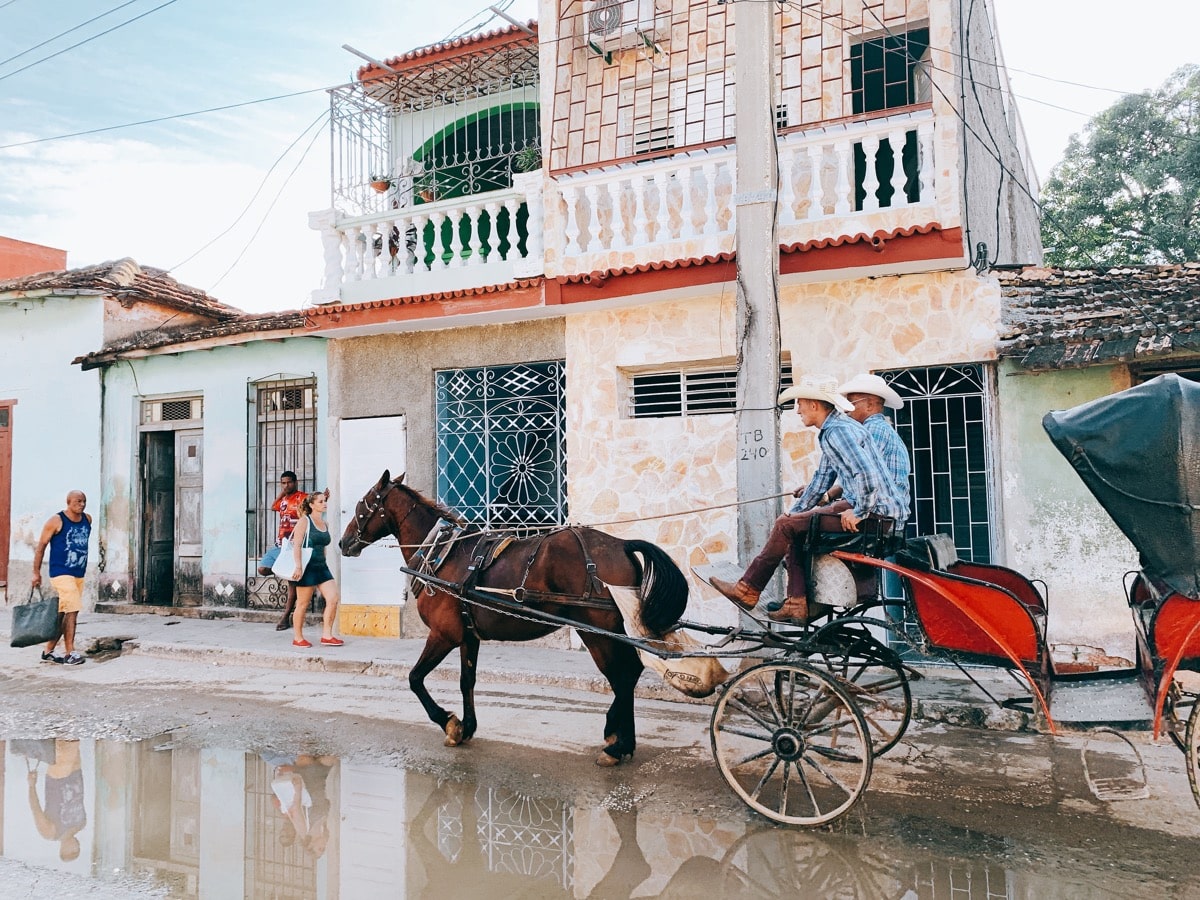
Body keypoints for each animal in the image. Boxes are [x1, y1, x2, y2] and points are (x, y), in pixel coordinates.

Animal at [343, 472, 691, 768]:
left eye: (364, 504)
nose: (345, 542)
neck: (441, 553)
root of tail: (621, 545)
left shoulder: (444, 635)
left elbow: (415, 678)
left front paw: (450, 723)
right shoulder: (468, 636)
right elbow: (466, 680)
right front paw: (467, 727)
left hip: (596, 631)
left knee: (622, 676)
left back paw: (617, 745)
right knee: (629, 673)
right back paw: (619, 737)